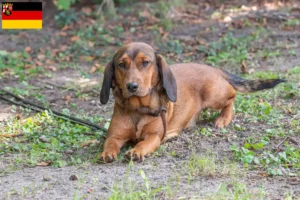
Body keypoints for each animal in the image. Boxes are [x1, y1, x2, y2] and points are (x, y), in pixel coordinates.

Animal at [98, 42, 284, 162]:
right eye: (121, 64)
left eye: (145, 62)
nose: (132, 86)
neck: (138, 108)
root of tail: (215, 69)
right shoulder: (114, 135)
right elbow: (110, 143)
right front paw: (107, 153)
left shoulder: (155, 136)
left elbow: (145, 143)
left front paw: (137, 150)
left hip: (214, 96)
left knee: (232, 96)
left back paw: (223, 118)